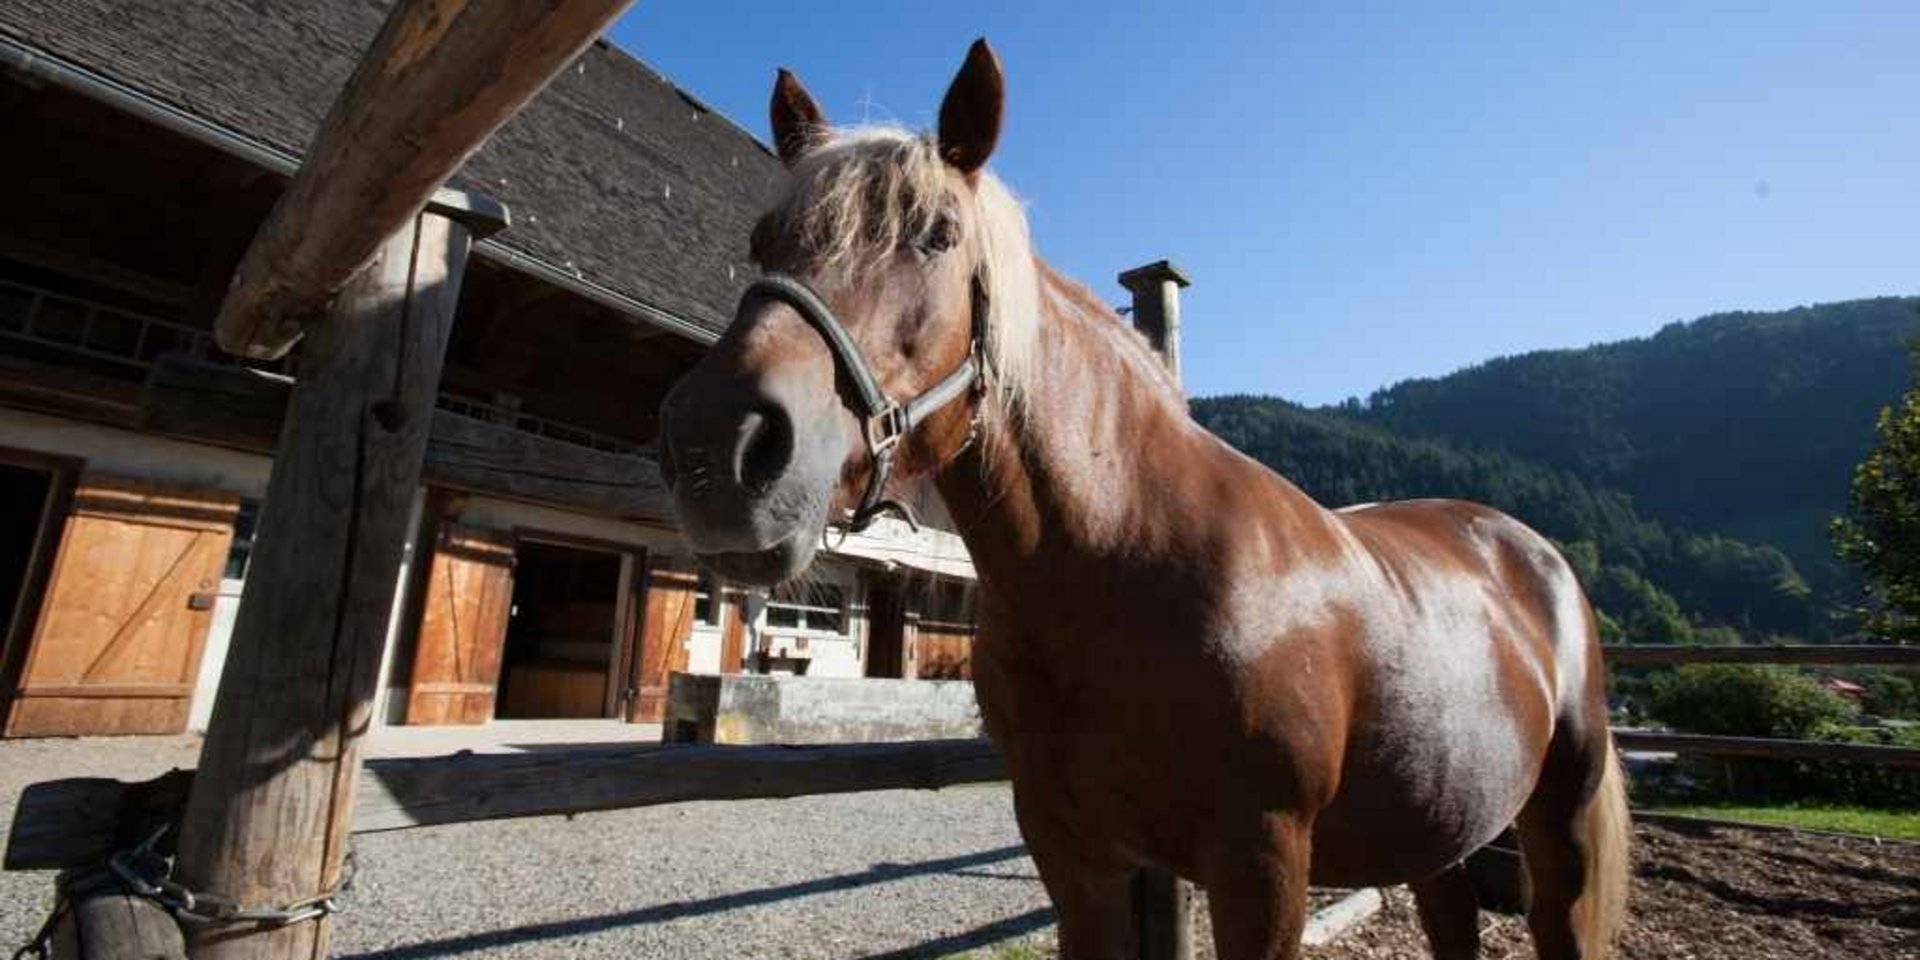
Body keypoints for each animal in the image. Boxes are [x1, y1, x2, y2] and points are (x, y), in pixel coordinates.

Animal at [656, 39, 1629, 960]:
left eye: (936, 234)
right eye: (763, 240)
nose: (716, 446)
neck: (1125, 571)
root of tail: (1532, 554)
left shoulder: (1262, 867)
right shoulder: (1074, 857)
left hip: (1559, 825)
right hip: (1438, 834)